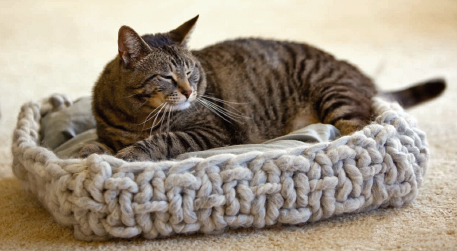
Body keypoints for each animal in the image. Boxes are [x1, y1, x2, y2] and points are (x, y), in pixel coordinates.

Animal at [78, 15, 446, 161]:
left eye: (191, 73)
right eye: (167, 77)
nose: (189, 92)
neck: (135, 116)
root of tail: (364, 76)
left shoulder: (213, 131)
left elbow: (165, 139)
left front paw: (132, 153)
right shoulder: (107, 129)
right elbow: (94, 143)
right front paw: (90, 151)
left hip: (334, 94)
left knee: (357, 128)